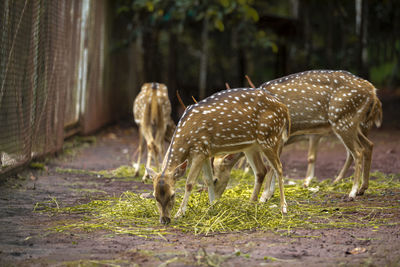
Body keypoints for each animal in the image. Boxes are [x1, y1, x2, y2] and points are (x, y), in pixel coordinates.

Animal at [147, 87, 290, 224]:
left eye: (173, 195)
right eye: (155, 196)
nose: (165, 219)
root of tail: (285, 109)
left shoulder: (199, 150)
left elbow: (189, 183)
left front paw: (179, 213)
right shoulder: (205, 152)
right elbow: (208, 180)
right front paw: (212, 206)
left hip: (269, 138)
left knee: (279, 168)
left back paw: (283, 208)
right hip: (251, 146)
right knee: (261, 170)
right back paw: (250, 204)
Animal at [214, 70, 382, 202]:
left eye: (215, 179)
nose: (213, 200)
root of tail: (373, 91)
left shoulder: (277, 137)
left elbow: (272, 165)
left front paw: (264, 197)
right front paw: (269, 195)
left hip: (342, 119)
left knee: (357, 152)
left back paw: (351, 192)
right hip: (353, 124)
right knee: (369, 145)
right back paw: (362, 188)